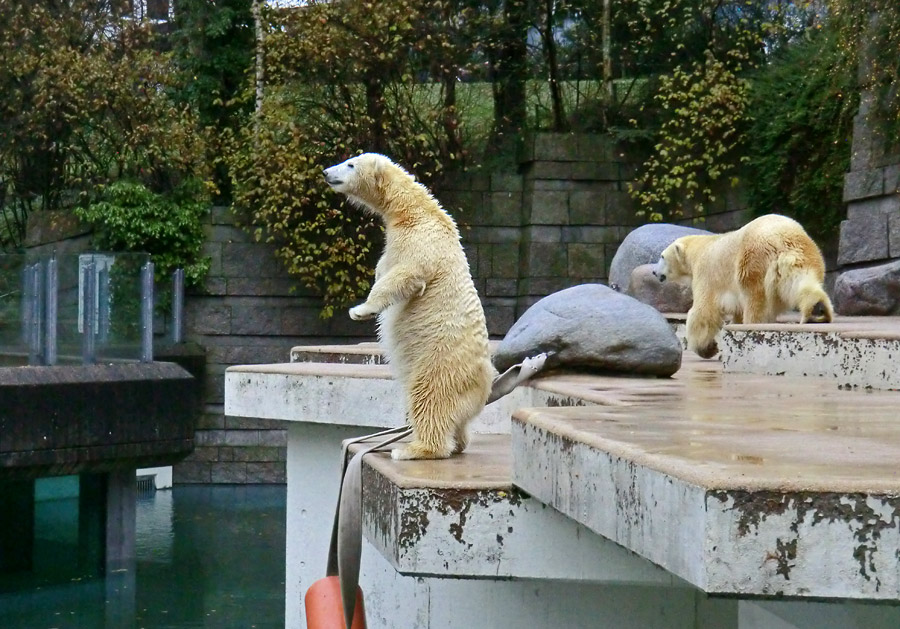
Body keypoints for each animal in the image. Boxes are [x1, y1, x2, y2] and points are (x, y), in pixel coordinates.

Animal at [324, 151, 496, 456]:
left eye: (350, 164)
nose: (325, 172)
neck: (414, 211)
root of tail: (484, 384)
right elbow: (383, 266)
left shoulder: (422, 240)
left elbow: (405, 275)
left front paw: (361, 310)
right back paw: (459, 443)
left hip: (439, 363)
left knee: (429, 398)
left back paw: (412, 449)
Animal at [652, 213, 836, 358]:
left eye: (662, 256)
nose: (654, 272)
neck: (699, 249)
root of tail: (779, 239)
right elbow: (735, 311)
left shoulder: (706, 273)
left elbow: (703, 311)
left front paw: (706, 349)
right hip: (803, 255)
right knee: (801, 282)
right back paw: (817, 311)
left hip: (753, 263)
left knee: (755, 301)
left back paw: (753, 325)